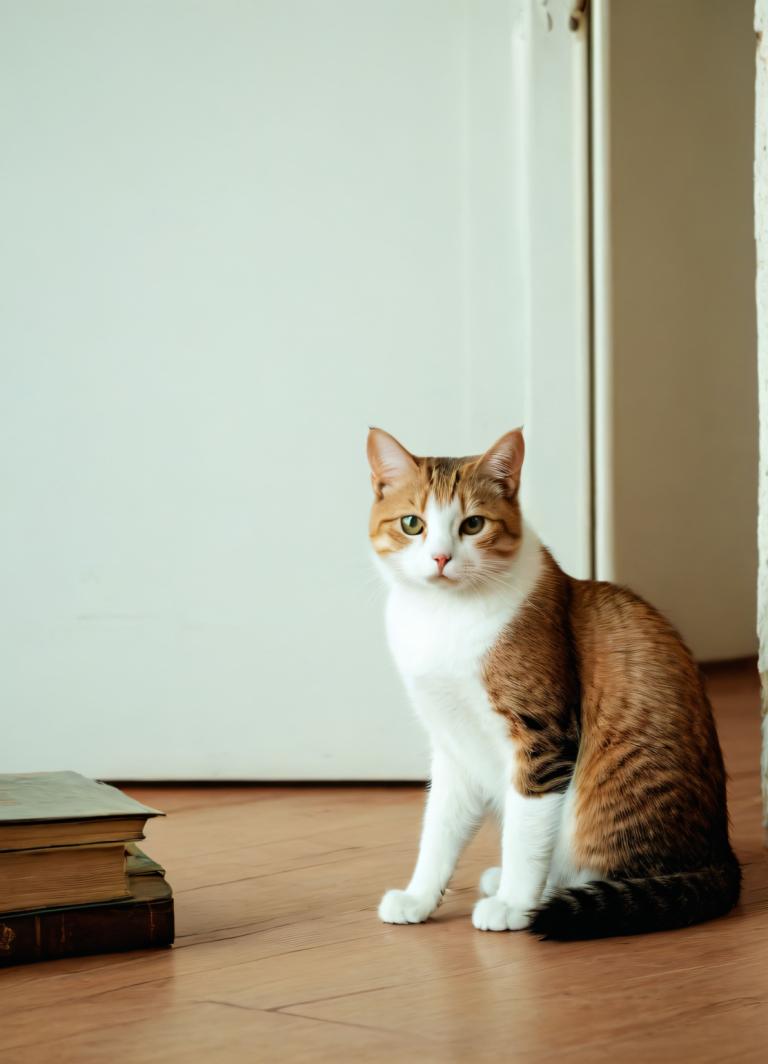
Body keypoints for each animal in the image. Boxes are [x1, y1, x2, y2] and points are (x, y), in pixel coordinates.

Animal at [365, 423, 736, 940]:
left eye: (473, 525)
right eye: (411, 523)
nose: (440, 557)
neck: (444, 617)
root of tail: (721, 860)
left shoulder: (543, 736)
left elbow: (526, 831)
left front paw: (514, 904)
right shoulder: (453, 744)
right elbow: (439, 829)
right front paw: (419, 897)